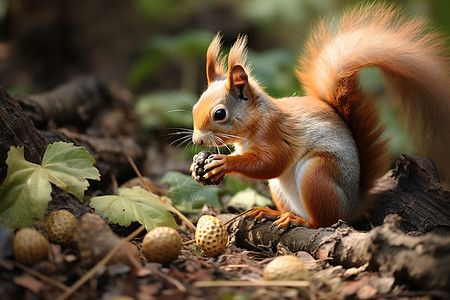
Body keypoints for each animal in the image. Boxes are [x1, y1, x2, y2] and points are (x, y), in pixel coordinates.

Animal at [189, 3, 450, 229]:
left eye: (220, 113)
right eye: (194, 107)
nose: (197, 141)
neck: (255, 121)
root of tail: (354, 206)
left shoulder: (273, 132)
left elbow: (271, 163)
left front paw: (225, 163)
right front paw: (197, 167)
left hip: (317, 174)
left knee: (324, 221)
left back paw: (299, 220)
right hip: (281, 189)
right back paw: (272, 212)